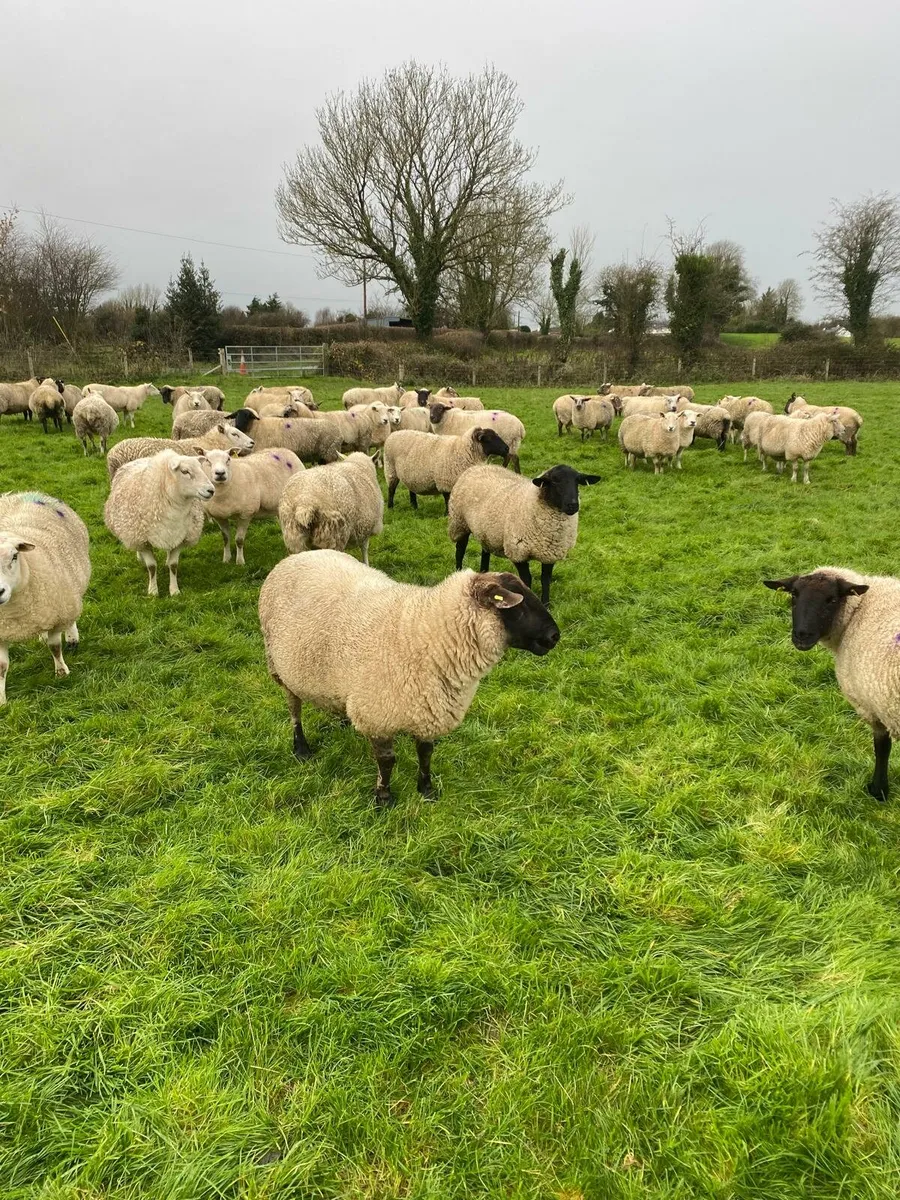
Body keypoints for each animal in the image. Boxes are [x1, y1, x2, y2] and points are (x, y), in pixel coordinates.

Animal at [0, 491, 91, 704]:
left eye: (15, 556)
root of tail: (23, 493)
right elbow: (2, 667)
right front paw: (1, 700)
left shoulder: (58, 616)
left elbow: (55, 647)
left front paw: (62, 673)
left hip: (70, 588)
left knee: (72, 616)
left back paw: (72, 638)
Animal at [103, 451, 215, 596]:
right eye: (185, 471)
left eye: (202, 469)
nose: (211, 490)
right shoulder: (142, 540)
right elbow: (151, 567)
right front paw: (153, 591)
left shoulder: (181, 537)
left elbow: (173, 565)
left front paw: (174, 590)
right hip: (133, 533)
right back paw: (140, 558)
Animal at [258, 550, 560, 805]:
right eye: (517, 606)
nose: (555, 636)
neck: (425, 631)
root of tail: (298, 555)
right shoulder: (378, 715)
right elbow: (387, 760)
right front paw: (384, 797)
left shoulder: (429, 711)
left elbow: (425, 755)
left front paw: (426, 790)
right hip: (280, 667)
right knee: (294, 708)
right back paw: (301, 747)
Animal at [448, 463, 600, 606]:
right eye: (554, 481)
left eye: (578, 481)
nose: (573, 505)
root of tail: (480, 465)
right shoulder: (518, 552)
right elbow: (527, 580)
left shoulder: (549, 554)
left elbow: (546, 580)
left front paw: (546, 604)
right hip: (460, 523)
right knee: (460, 551)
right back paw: (458, 573)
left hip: (486, 532)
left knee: (485, 552)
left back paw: (484, 572)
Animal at [763, 566, 900, 801]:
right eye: (794, 595)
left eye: (832, 599)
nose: (802, 636)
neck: (857, 612)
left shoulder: (873, 705)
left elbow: (881, 748)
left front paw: (878, 790)